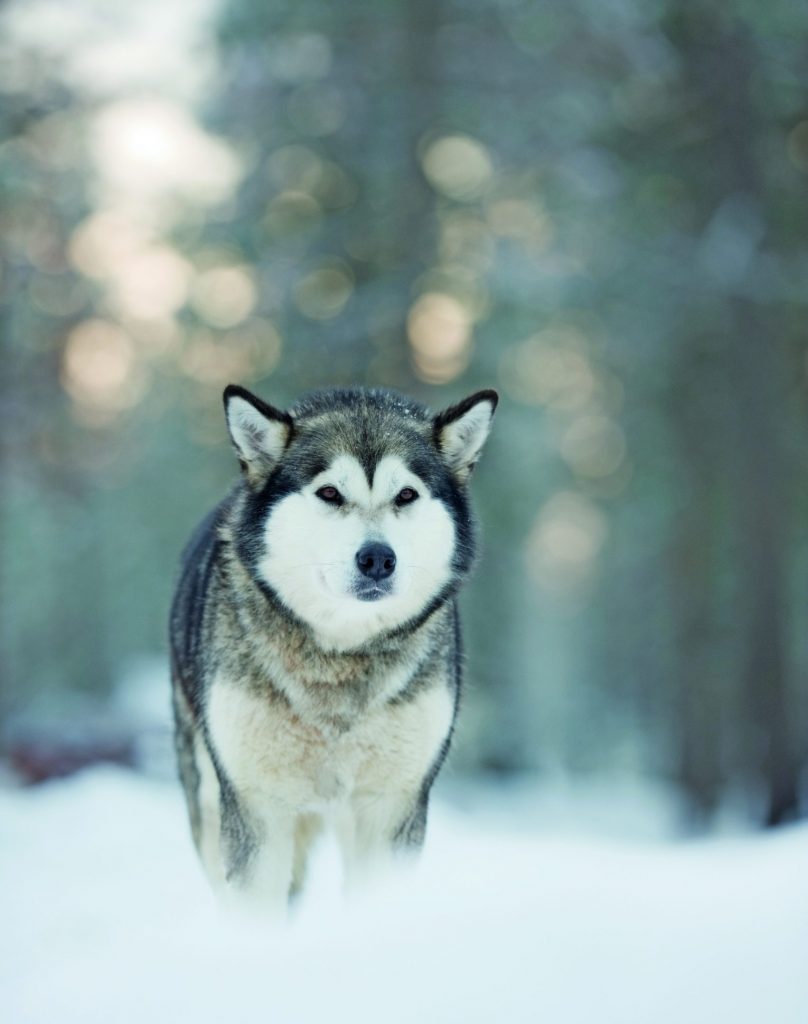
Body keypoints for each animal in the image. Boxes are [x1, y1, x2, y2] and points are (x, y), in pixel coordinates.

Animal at [168, 385, 495, 913]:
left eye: (406, 495)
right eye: (329, 493)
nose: (378, 558)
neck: (341, 657)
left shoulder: (392, 804)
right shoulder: (256, 805)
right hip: (209, 795)